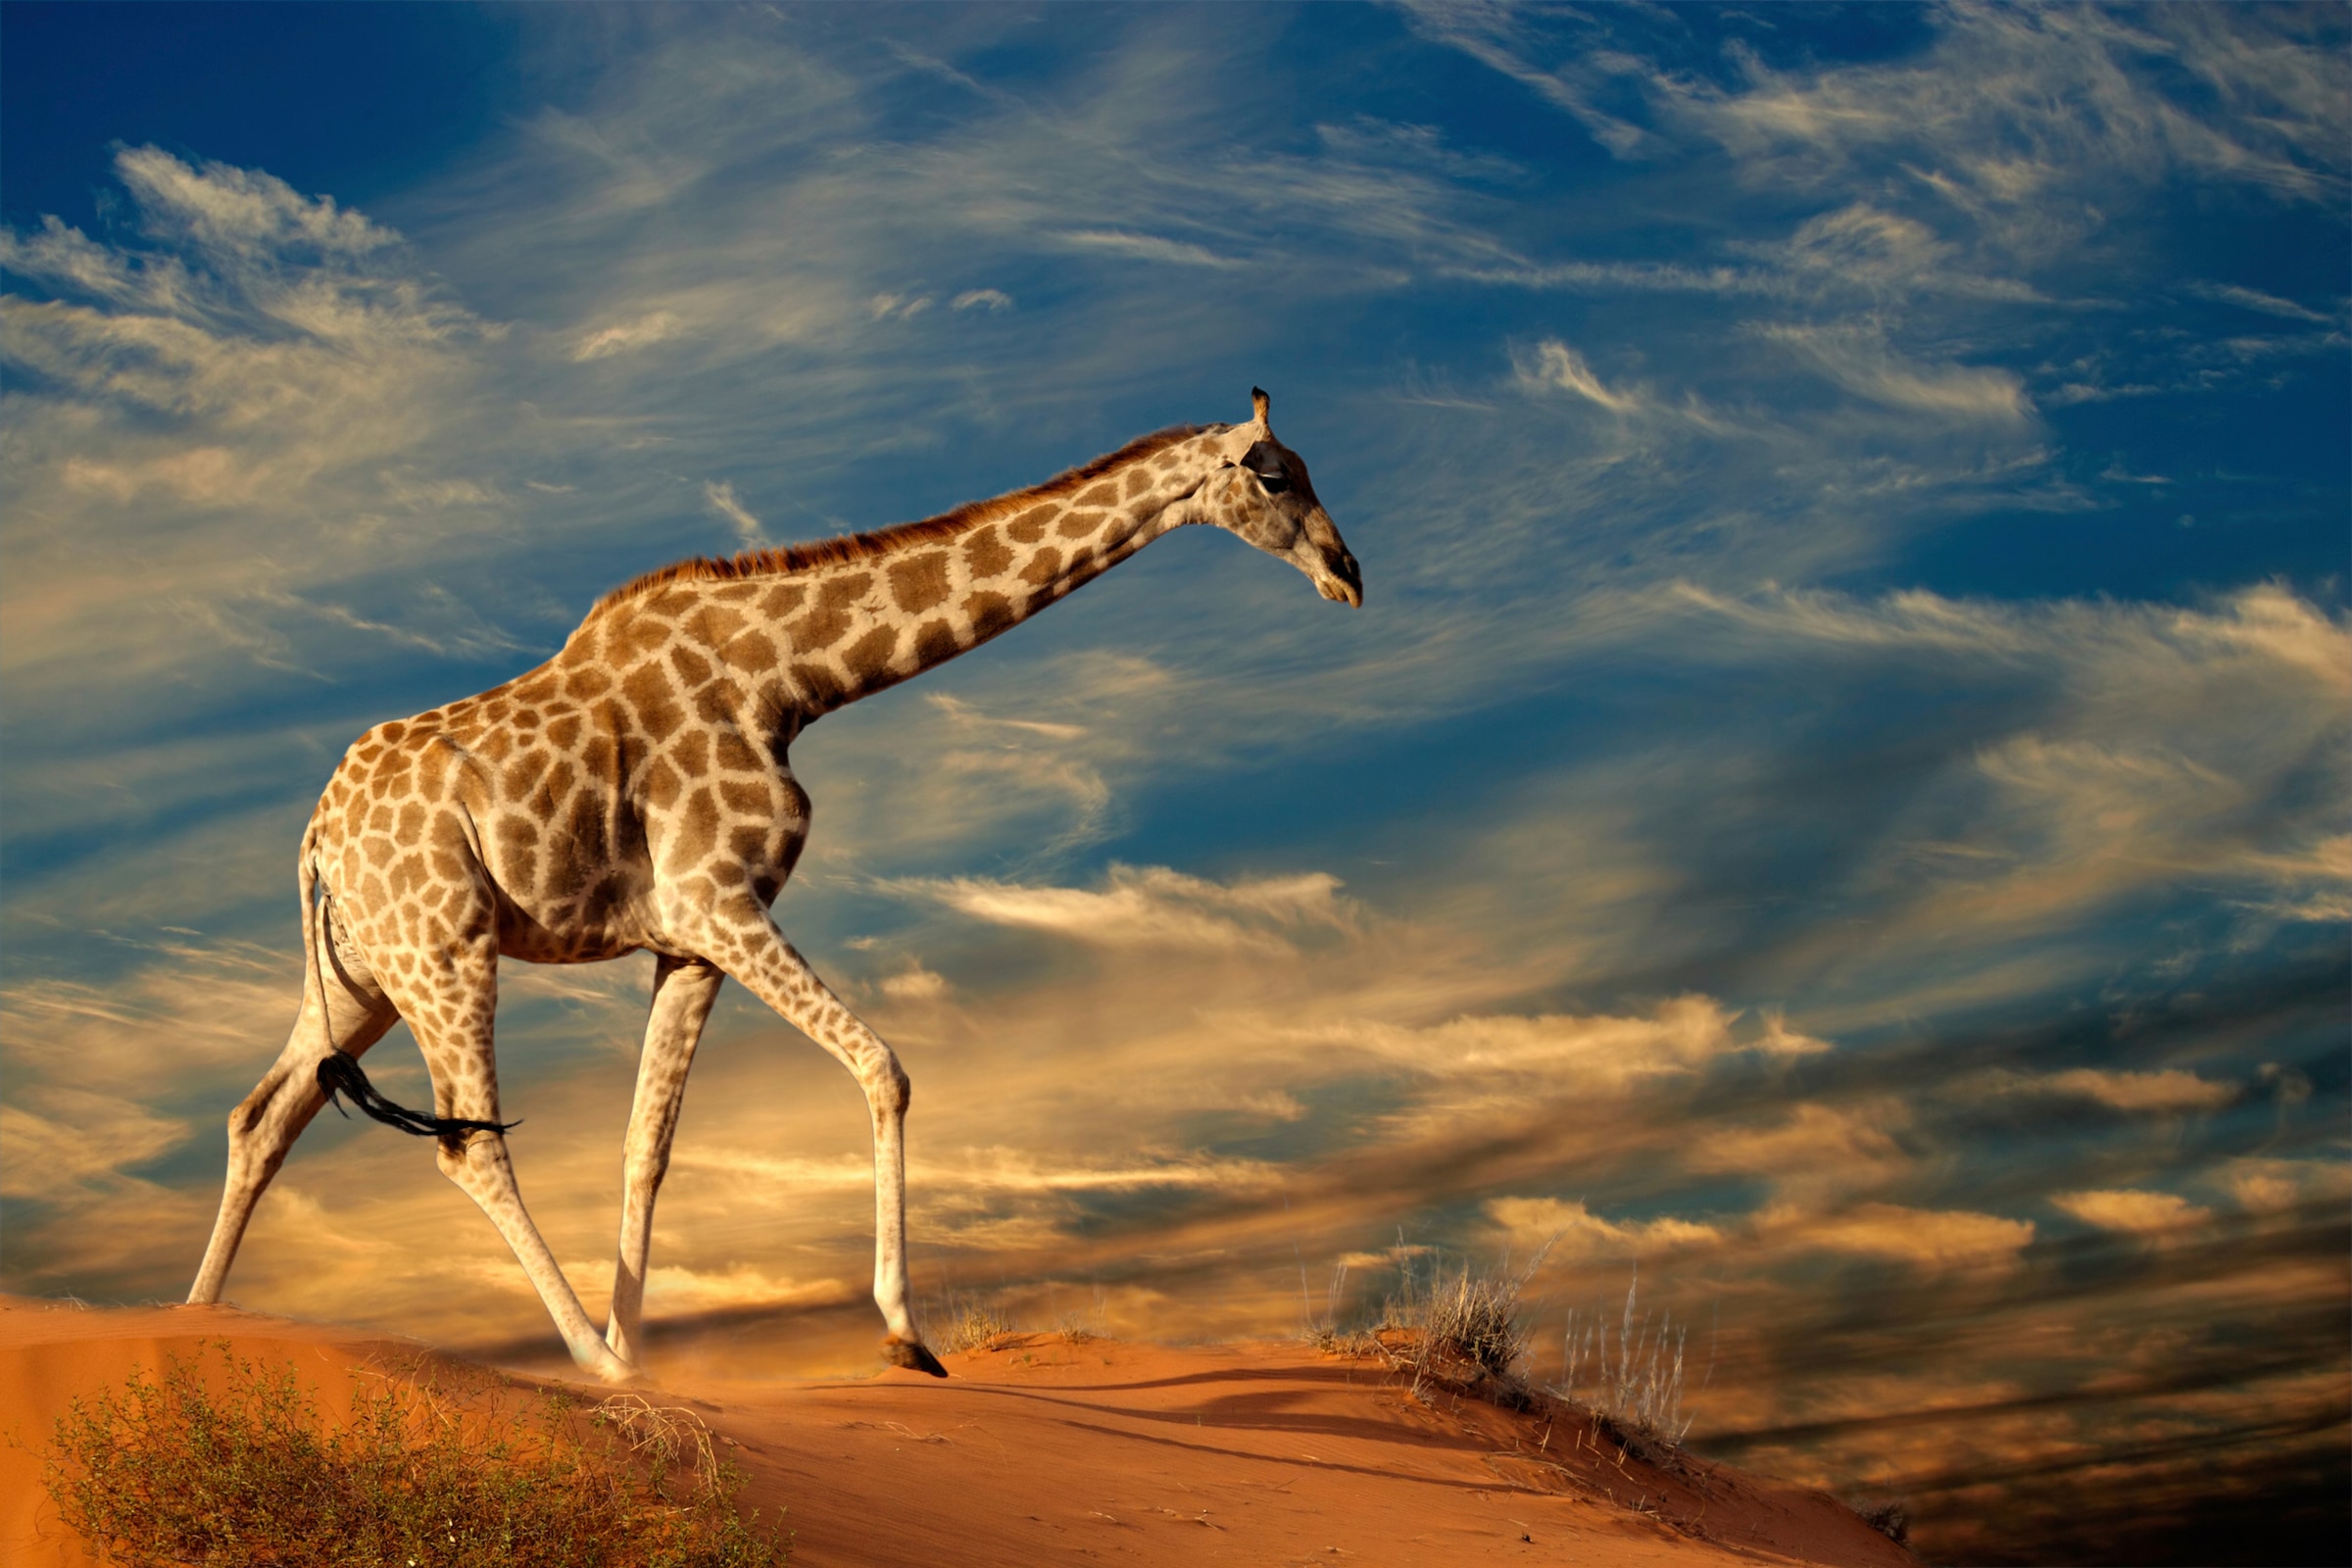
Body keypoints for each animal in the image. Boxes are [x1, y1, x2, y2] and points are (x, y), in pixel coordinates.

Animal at [188, 385, 1364, 1382]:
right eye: (1275, 476)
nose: (1349, 572)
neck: (792, 680)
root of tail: (314, 839)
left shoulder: (685, 941)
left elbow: (648, 1146)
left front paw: (650, 1352)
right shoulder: (718, 899)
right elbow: (884, 1066)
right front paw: (901, 1336)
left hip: (363, 973)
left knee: (261, 1117)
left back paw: (197, 1323)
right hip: (445, 948)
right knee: (466, 1146)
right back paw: (593, 1366)